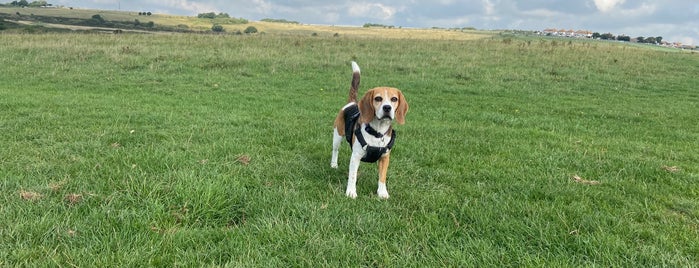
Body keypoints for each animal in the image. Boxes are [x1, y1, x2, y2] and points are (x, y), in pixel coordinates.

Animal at [334, 61, 410, 198]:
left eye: (394, 99)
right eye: (378, 98)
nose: (387, 108)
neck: (377, 132)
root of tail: (353, 103)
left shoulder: (385, 157)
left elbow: (382, 177)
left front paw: (382, 192)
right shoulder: (355, 156)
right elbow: (352, 176)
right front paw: (351, 192)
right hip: (337, 134)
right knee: (335, 150)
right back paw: (333, 165)